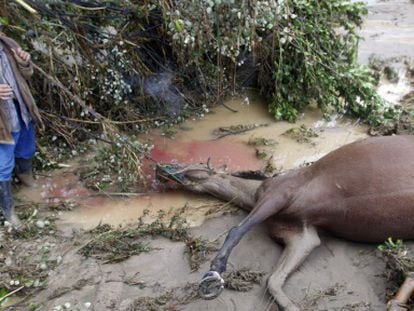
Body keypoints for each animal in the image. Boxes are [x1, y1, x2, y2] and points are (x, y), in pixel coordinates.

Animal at [156, 135, 414, 310]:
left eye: (195, 164)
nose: (161, 168)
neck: (254, 192)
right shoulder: (303, 236)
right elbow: (273, 281)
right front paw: (292, 307)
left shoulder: (279, 194)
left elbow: (236, 230)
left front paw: (215, 272)